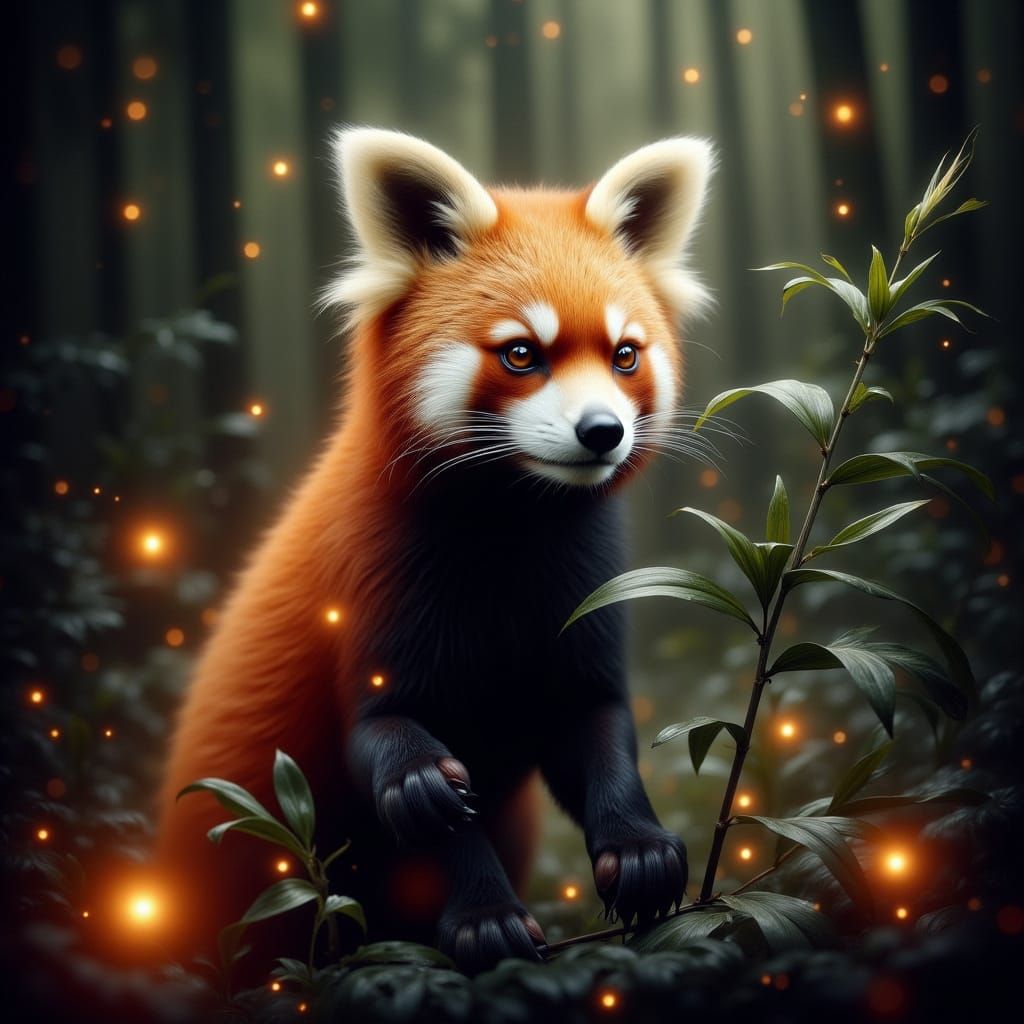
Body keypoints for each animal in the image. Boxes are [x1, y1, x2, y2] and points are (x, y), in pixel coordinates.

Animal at [156, 127, 714, 975]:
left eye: (625, 355)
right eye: (521, 354)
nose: (602, 431)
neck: (511, 523)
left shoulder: (585, 583)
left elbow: (593, 724)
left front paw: (642, 849)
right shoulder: (371, 580)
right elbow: (389, 755)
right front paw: (481, 907)